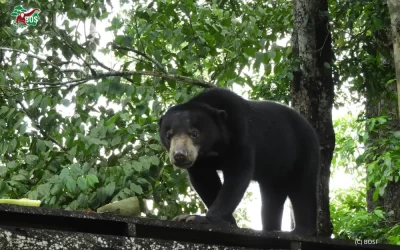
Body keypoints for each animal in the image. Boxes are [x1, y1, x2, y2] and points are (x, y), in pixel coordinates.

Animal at [158, 88, 320, 236]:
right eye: (169, 135)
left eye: (194, 133)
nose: (180, 155)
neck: (213, 147)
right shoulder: (201, 161)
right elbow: (204, 180)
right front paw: (228, 221)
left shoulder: (240, 134)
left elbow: (238, 175)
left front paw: (198, 219)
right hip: (275, 170)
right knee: (272, 196)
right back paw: (271, 229)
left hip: (303, 150)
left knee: (302, 187)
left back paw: (300, 231)